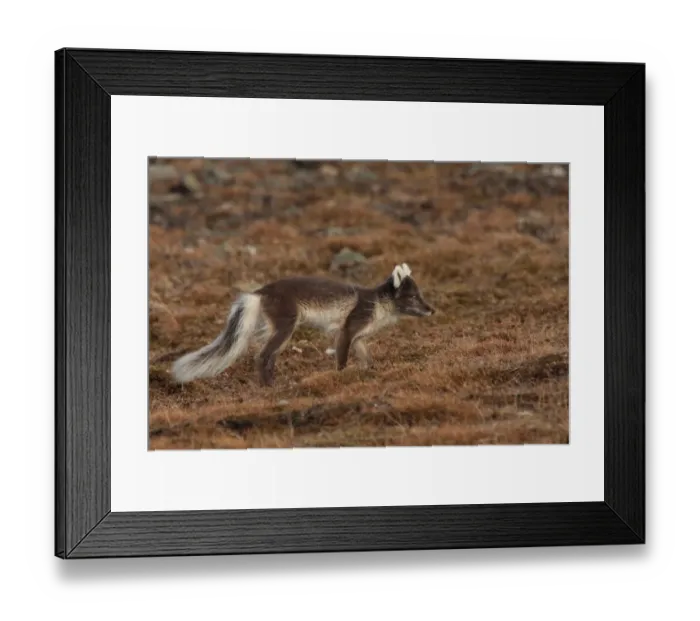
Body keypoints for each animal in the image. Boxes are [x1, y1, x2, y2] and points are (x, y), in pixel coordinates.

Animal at [171, 263, 435, 387]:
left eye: (420, 295)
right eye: (413, 297)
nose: (432, 310)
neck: (379, 305)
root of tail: (260, 292)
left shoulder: (359, 337)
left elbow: (367, 359)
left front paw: (371, 372)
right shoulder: (347, 330)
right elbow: (341, 360)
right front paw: (340, 379)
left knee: (269, 357)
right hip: (287, 325)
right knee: (262, 355)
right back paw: (268, 387)